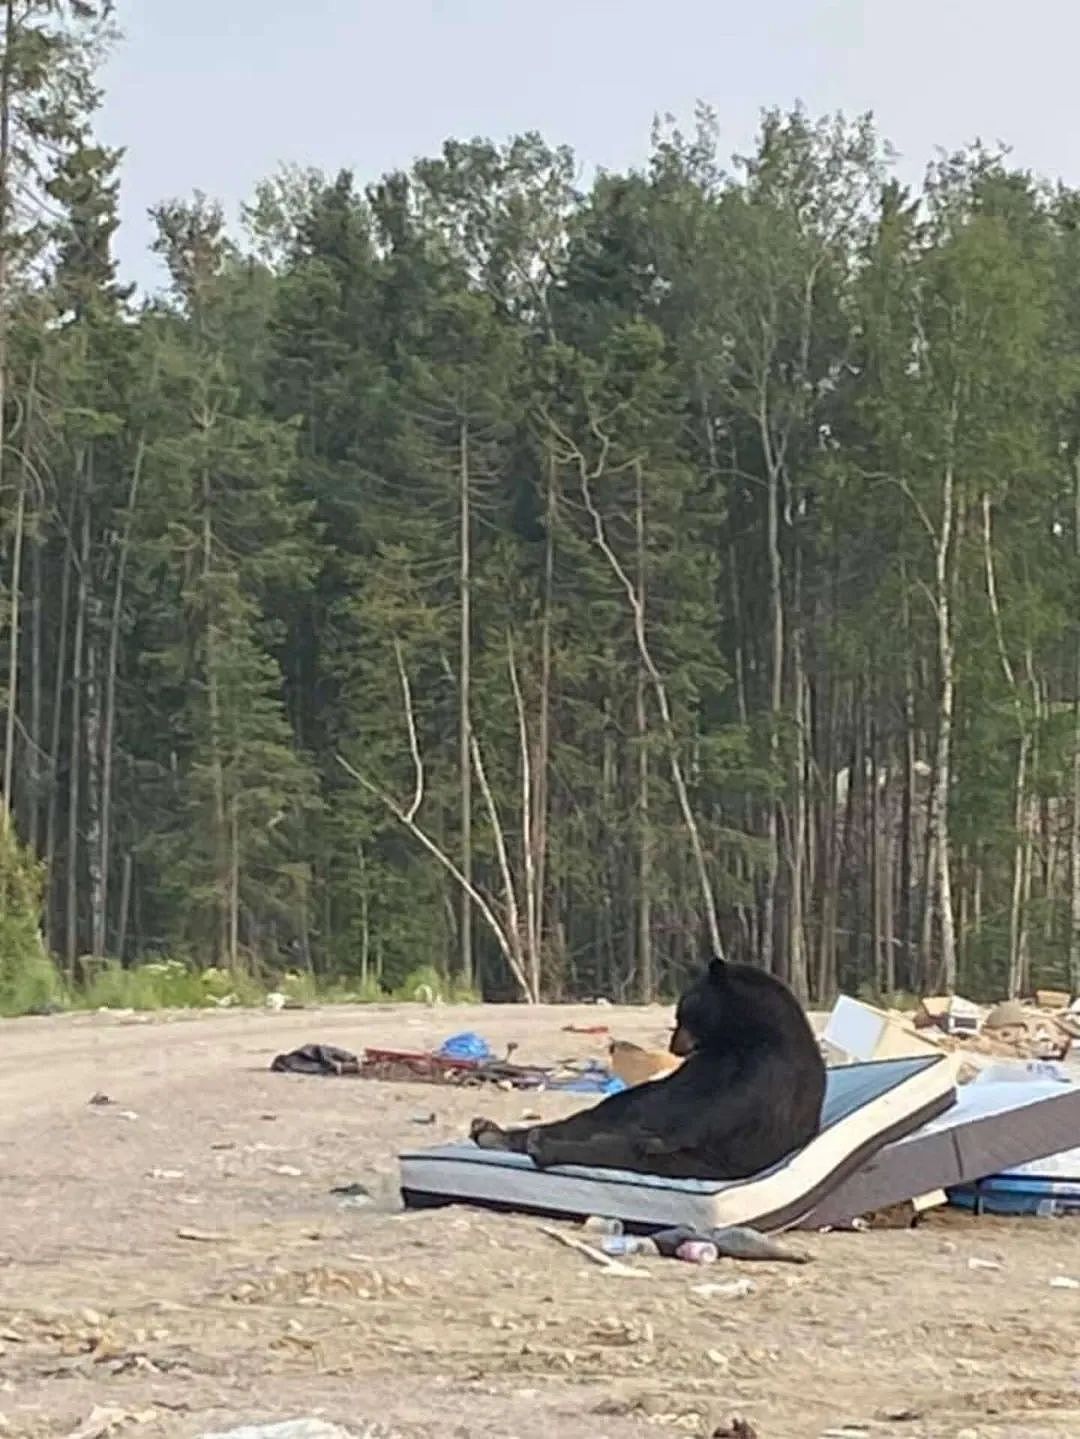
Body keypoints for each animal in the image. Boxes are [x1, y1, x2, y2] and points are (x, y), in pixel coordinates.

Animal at [468, 955, 822, 1179]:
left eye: (682, 1011)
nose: (673, 1045)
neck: (744, 1035)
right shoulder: (701, 1069)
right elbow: (661, 1099)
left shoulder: (768, 1073)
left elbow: (716, 1113)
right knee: (591, 1120)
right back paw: (496, 1133)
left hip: (703, 1160)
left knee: (624, 1150)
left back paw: (543, 1145)